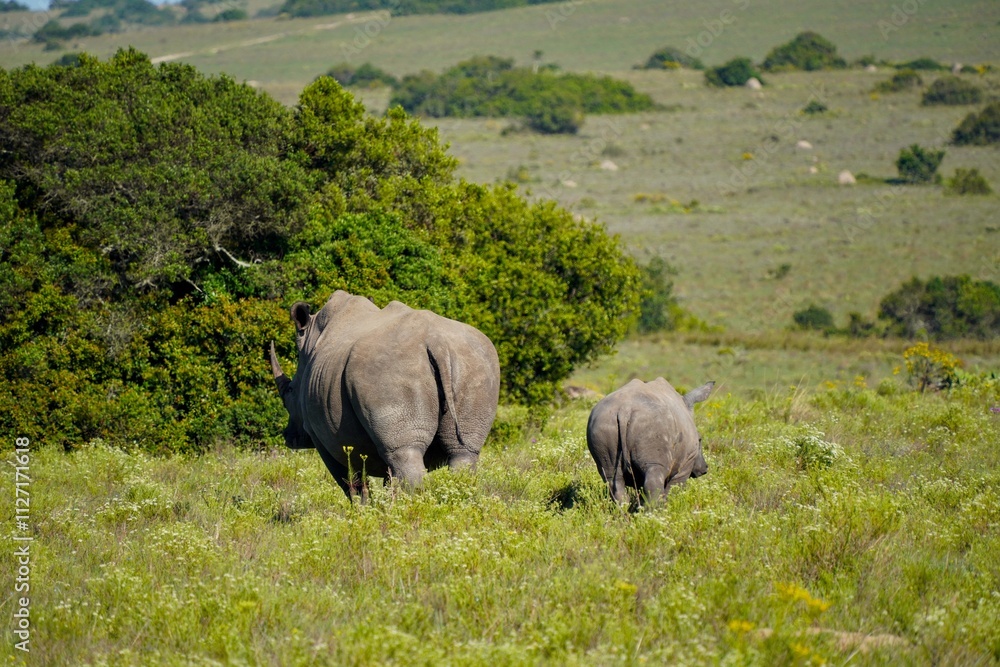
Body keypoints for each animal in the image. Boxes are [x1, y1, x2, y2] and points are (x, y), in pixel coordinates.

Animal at [269, 290, 501, 500]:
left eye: (289, 392)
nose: (289, 438)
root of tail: (438, 342)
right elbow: (386, 478)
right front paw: (381, 510)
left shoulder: (321, 436)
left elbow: (351, 482)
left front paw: (362, 513)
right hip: (475, 362)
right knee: (462, 453)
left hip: (389, 368)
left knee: (404, 455)